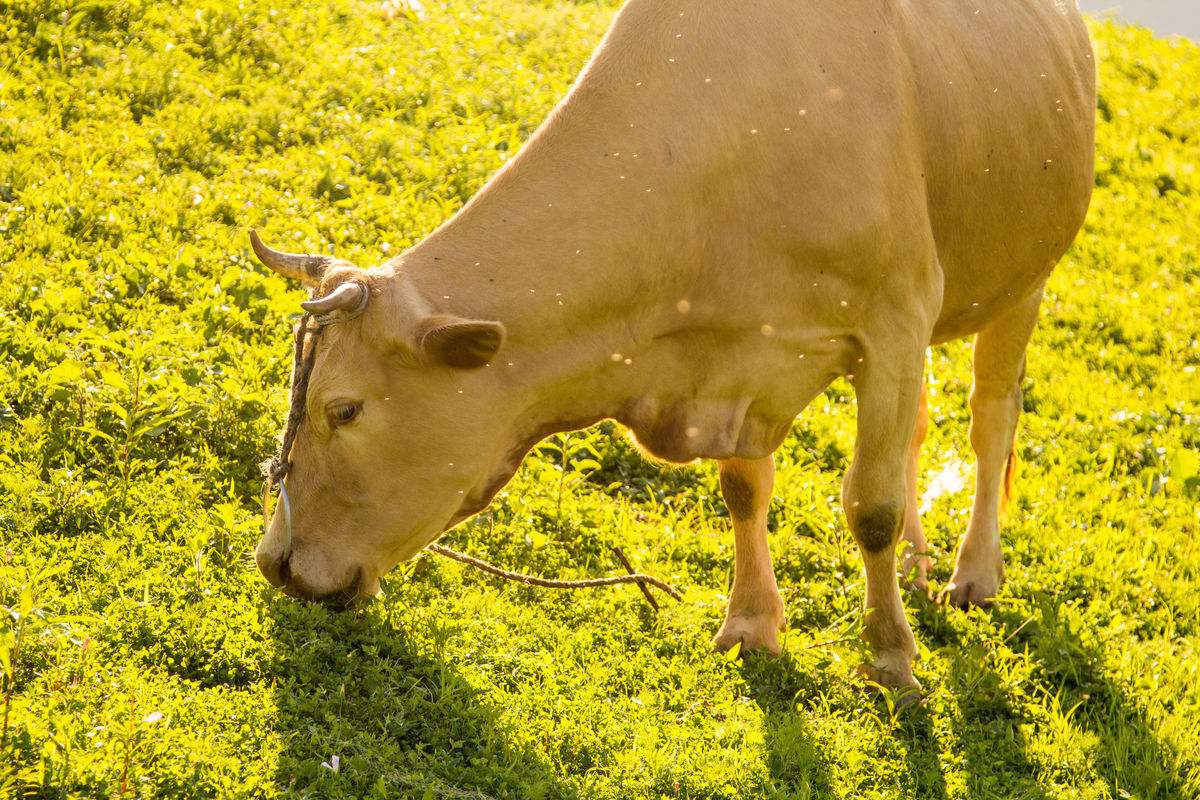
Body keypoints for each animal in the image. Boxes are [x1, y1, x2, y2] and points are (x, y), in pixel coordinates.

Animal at [250, 0, 1099, 695]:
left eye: (344, 410)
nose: (276, 563)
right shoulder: (740, 355)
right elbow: (744, 490)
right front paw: (752, 623)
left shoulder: (894, 318)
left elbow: (872, 507)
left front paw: (891, 656)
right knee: (920, 428)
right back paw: (923, 567)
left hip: (1026, 280)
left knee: (991, 422)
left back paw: (973, 572)